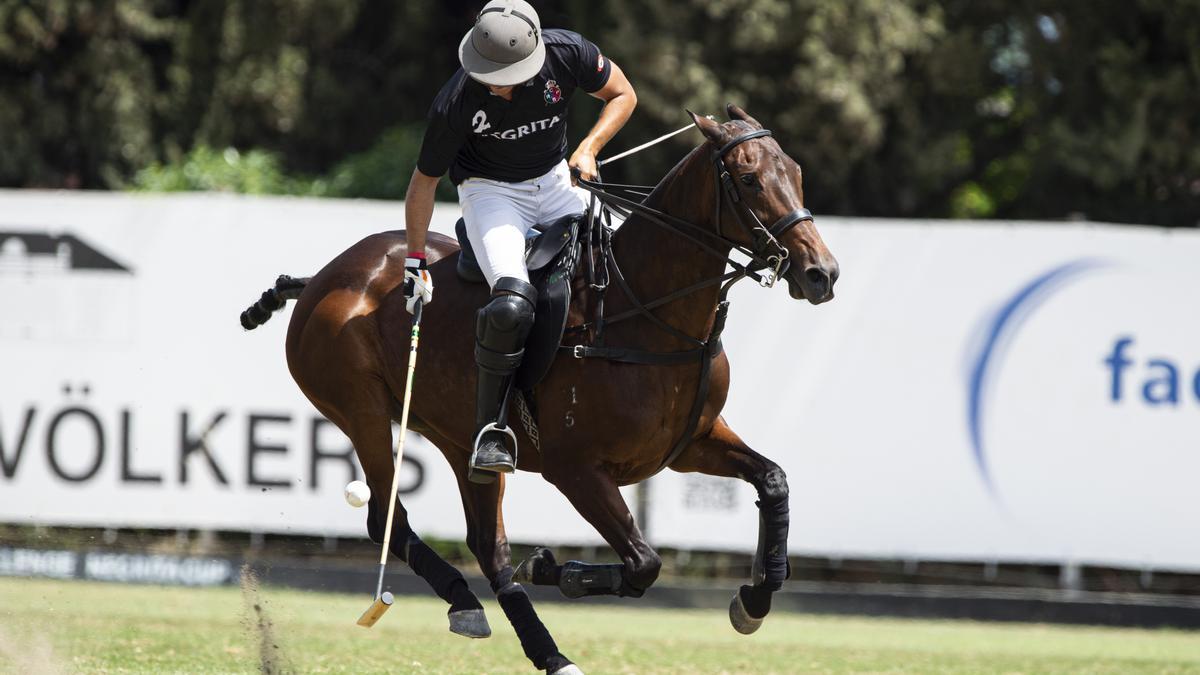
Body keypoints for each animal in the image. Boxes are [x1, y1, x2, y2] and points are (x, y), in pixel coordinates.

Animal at [243, 103, 835, 667]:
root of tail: (322, 277)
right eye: (749, 179)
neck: (646, 311)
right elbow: (644, 563)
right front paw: (557, 568)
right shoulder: (574, 468)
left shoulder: (689, 444)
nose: (821, 273)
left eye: (797, 173)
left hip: (460, 439)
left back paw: (535, 646)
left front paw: (753, 600)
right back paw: (474, 602)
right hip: (358, 407)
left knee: (487, 543)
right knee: (386, 516)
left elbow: (773, 481)